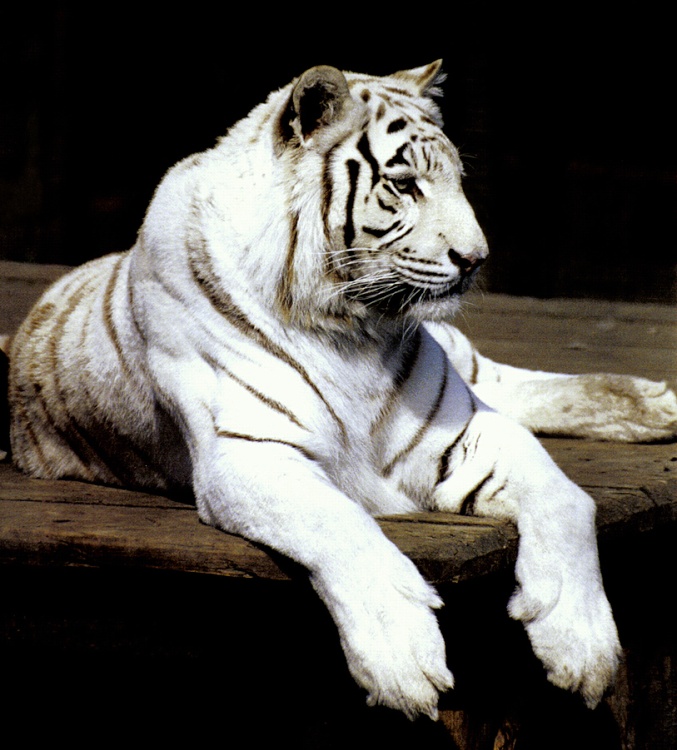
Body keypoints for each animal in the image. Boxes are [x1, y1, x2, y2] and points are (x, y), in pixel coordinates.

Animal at [8, 61, 677, 721]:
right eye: (404, 184)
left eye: (456, 181)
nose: (476, 259)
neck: (350, 327)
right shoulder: (249, 453)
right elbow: (342, 525)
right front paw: (403, 659)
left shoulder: (467, 427)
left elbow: (567, 501)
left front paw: (583, 645)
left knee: (499, 380)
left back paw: (654, 406)